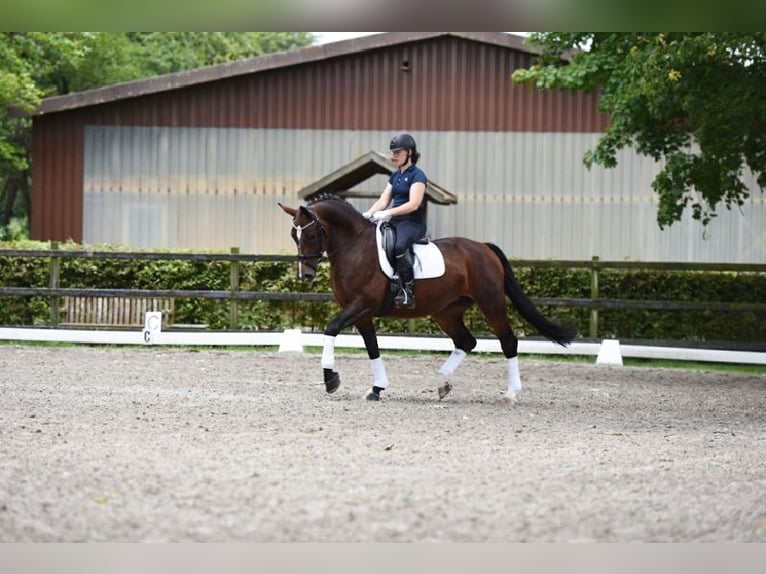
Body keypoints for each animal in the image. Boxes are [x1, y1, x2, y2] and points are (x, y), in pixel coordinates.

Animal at [280, 195, 580, 404]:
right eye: (294, 235)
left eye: (310, 233)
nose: (306, 275)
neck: (355, 247)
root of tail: (483, 248)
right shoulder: (361, 313)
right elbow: (372, 348)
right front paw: (376, 389)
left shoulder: (361, 305)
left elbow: (330, 329)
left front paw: (331, 379)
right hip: (446, 311)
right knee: (466, 341)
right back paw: (442, 384)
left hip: (490, 303)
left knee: (508, 341)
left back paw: (511, 393)